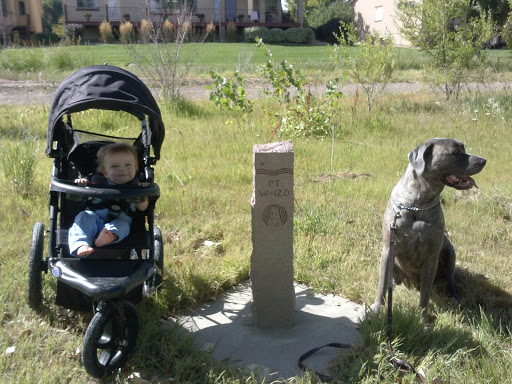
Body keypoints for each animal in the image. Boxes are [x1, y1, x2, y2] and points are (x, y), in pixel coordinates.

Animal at [370, 140, 486, 314]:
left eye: (464, 148)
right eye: (455, 153)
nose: (483, 161)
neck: (418, 204)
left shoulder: (431, 257)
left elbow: (425, 294)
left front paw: (422, 316)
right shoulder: (388, 248)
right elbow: (382, 282)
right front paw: (377, 307)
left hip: (450, 252)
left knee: (450, 279)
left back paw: (454, 297)